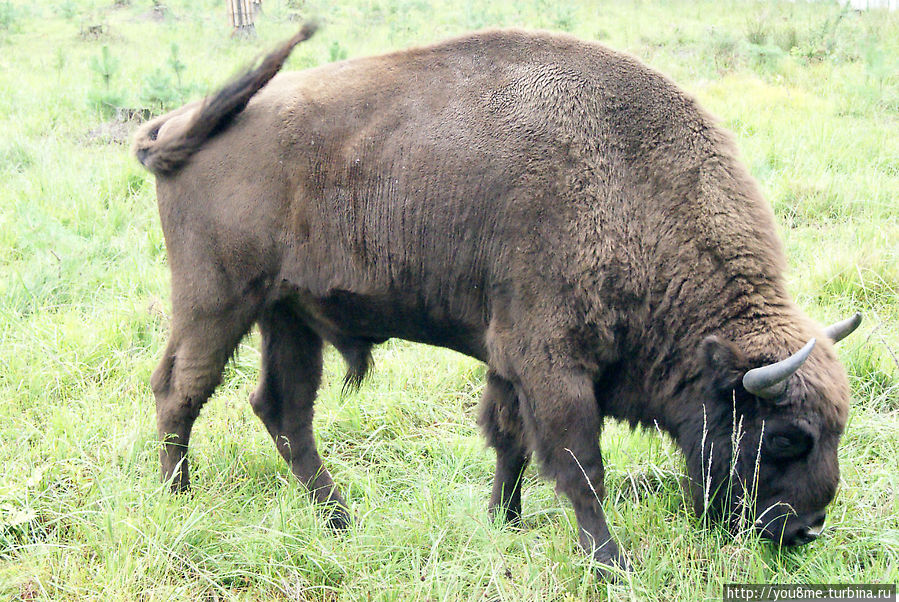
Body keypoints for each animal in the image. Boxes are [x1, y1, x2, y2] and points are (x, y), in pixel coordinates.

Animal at [132, 24, 856, 572]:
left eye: (835, 430)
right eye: (785, 437)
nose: (805, 529)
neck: (631, 189)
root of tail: (177, 125)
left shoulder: (509, 363)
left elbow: (509, 440)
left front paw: (503, 522)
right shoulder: (551, 364)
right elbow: (577, 463)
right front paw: (610, 562)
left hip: (288, 316)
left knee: (283, 410)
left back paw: (341, 519)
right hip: (217, 301)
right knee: (180, 390)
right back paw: (178, 499)